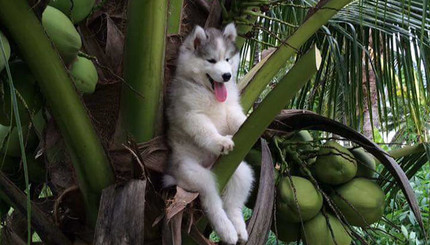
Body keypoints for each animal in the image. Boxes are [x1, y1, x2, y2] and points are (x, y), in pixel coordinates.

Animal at [164, 22, 252, 243]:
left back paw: (239, 228)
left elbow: (237, 119)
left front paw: (246, 122)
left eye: (227, 59)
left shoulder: (231, 109)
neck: (209, 93)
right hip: (193, 173)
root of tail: (212, 166)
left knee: (233, 203)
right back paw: (227, 230)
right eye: (211, 60)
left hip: (241, 171)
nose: (227, 76)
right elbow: (205, 130)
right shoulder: (191, 115)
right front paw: (220, 141)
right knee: (212, 201)